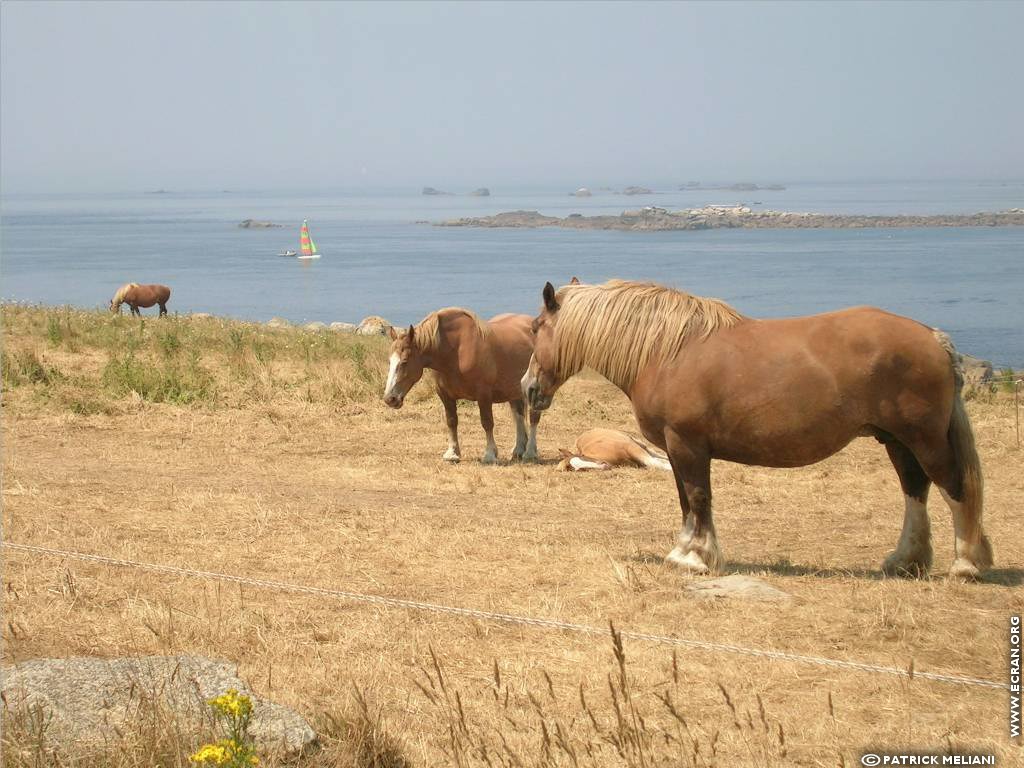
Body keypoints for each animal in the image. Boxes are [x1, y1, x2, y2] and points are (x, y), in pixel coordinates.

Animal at [524, 280, 995, 581]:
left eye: (535, 329)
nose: (528, 388)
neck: (668, 351)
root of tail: (933, 339)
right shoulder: (676, 449)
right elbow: (685, 500)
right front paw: (684, 550)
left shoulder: (686, 444)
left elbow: (698, 497)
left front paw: (697, 557)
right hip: (896, 440)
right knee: (915, 489)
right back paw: (904, 561)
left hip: (923, 439)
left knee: (953, 487)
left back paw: (966, 564)